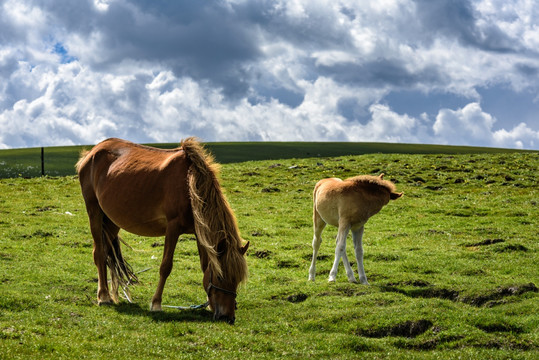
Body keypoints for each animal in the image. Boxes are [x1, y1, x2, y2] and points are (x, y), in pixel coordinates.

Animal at [76, 137, 249, 324]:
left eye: (238, 280)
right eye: (220, 277)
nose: (227, 317)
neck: (190, 184)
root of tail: (92, 152)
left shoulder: (199, 232)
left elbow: (205, 266)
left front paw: (209, 305)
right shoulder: (173, 227)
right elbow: (166, 266)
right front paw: (156, 303)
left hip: (112, 221)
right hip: (94, 211)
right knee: (99, 254)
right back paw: (103, 296)